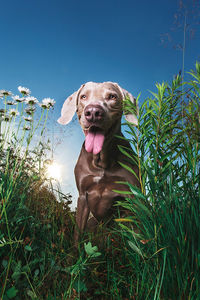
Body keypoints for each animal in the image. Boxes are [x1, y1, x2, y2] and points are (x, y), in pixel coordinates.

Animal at [57, 81, 140, 243]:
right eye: (83, 97)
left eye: (112, 96)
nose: (93, 112)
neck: (102, 161)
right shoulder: (83, 196)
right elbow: (78, 233)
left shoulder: (133, 194)